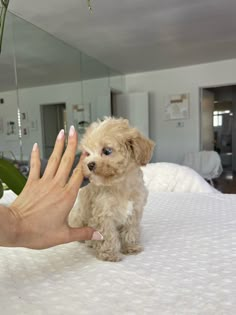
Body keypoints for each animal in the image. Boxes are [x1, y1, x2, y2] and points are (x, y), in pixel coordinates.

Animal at [68, 117, 155, 262]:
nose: (89, 164)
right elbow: (108, 234)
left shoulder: (135, 209)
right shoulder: (103, 213)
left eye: (107, 151)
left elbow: (130, 229)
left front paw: (130, 246)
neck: (120, 183)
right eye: (88, 153)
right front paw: (109, 253)